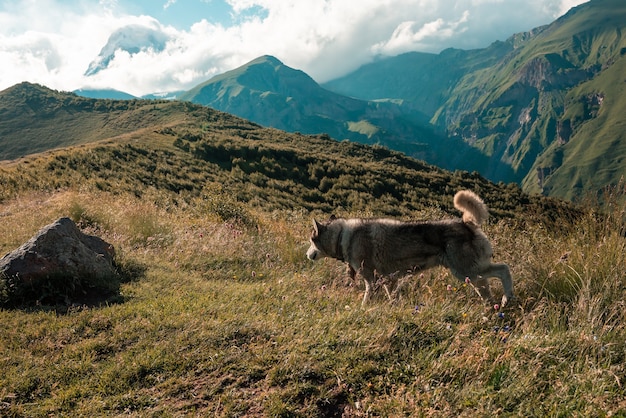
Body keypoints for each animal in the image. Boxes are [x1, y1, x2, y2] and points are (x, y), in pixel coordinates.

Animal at [304, 190, 512, 306]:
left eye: (311, 240)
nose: (307, 255)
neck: (342, 236)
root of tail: (466, 223)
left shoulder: (372, 281)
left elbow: (366, 301)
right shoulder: (388, 280)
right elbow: (392, 298)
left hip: (466, 271)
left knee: (504, 269)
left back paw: (507, 298)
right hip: (470, 275)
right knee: (488, 285)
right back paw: (493, 306)